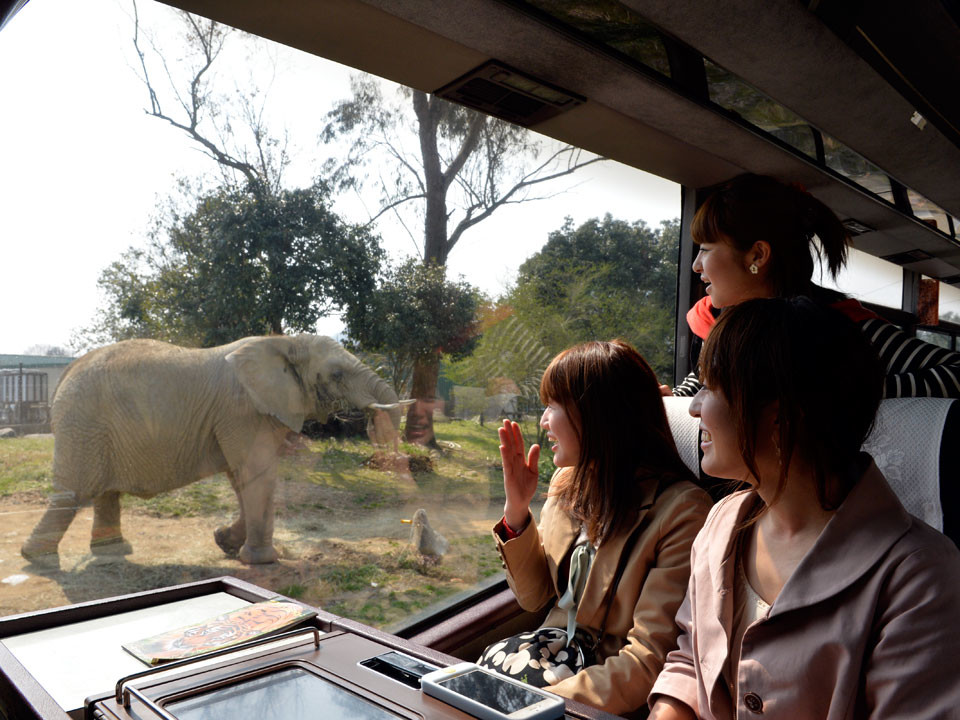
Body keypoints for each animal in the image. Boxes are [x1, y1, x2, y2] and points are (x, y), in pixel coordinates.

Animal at [21, 334, 404, 564]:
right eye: (337, 374)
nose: (375, 425)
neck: (284, 341)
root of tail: (67, 371)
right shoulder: (242, 409)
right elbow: (256, 474)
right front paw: (261, 560)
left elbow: (241, 478)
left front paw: (224, 542)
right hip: (82, 423)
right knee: (73, 494)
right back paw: (36, 558)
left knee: (104, 493)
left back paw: (114, 552)